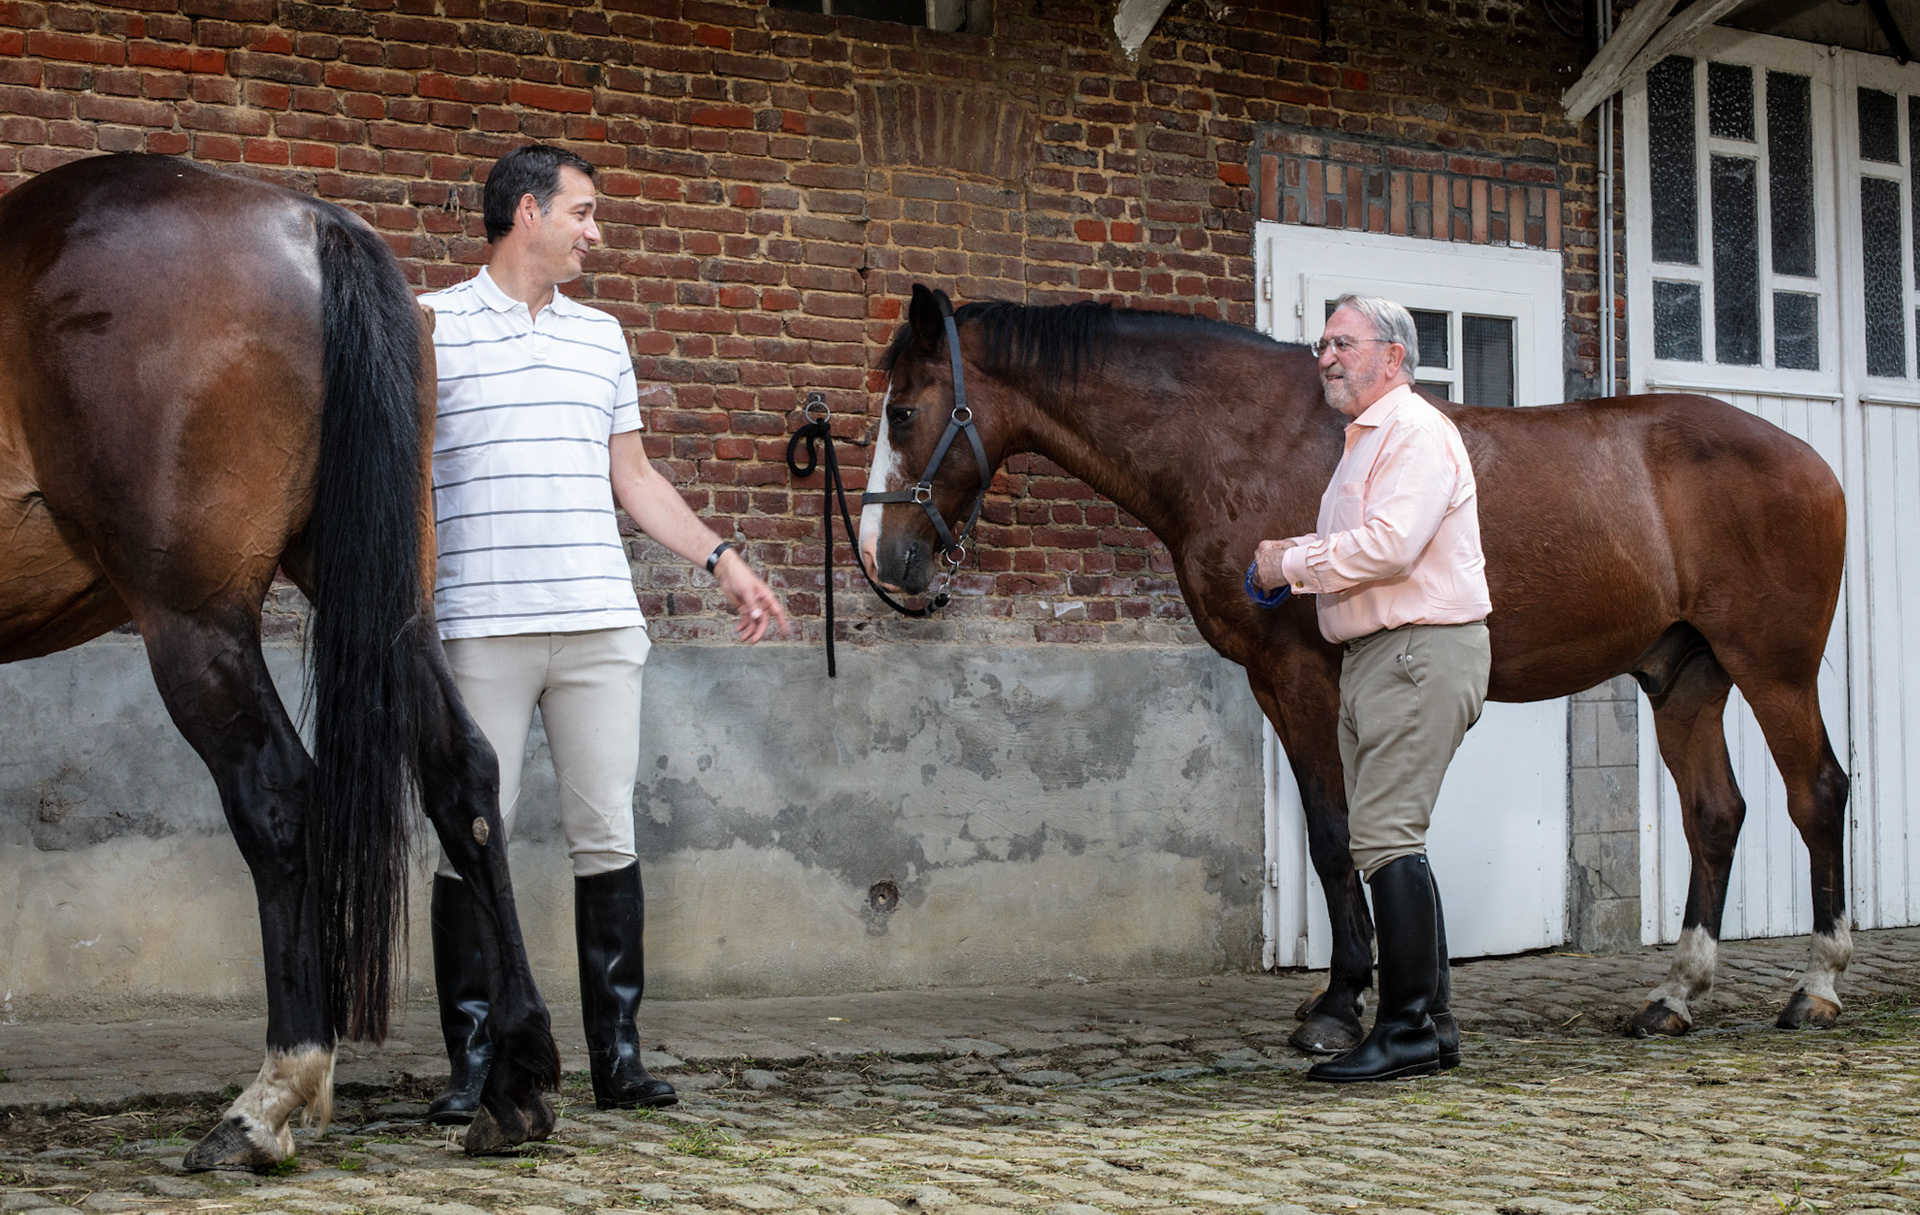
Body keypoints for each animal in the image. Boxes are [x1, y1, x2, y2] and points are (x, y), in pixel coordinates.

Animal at [0, 155, 559, 1166]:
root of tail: (311, 224)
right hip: (387, 596)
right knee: (464, 772)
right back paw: (515, 1080)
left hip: (192, 619)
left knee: (276, 793)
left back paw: (267, 1099)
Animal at [861, 284, 1851, 1052]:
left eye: (903, 412)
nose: (884, 558)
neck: (1243, 440)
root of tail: (1813, 460)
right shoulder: (1275, 682)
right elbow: (1330, 831)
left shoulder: (1303, 675)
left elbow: (1338, 837)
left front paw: (1338, 1007)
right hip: (1685, 676)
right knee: (1715, 816)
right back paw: (1674, 996)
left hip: (1773, 668)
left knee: (1817, 795)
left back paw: (1817, 986)